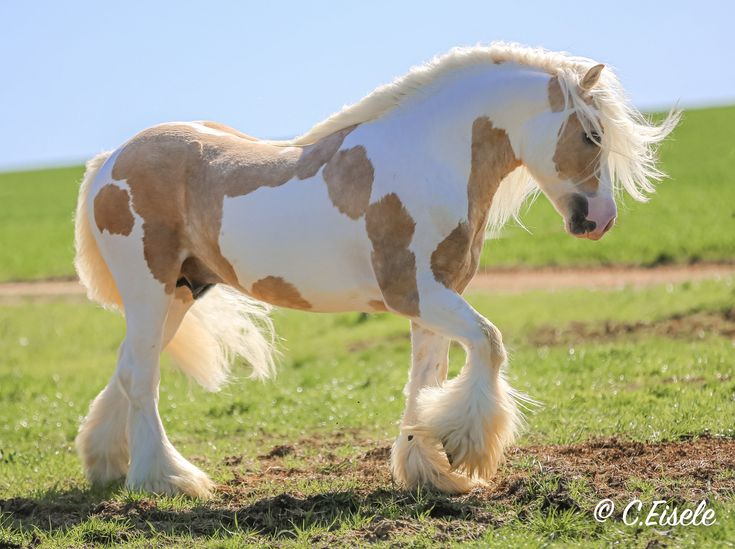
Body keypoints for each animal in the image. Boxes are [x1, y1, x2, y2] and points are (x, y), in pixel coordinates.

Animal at [73, 42, 680, 496]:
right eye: (591, 135)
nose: (599, 220)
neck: (427, 156)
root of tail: (108, 162)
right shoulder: (415, 292)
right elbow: (488, 344)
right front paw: (463, 449)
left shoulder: (437, 295)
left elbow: (427, 377)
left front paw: (430, 471)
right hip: (149, 288)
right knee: (140, 376)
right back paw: (168, 480)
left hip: (182, 290)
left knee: (127, 369)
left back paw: (109, 465)